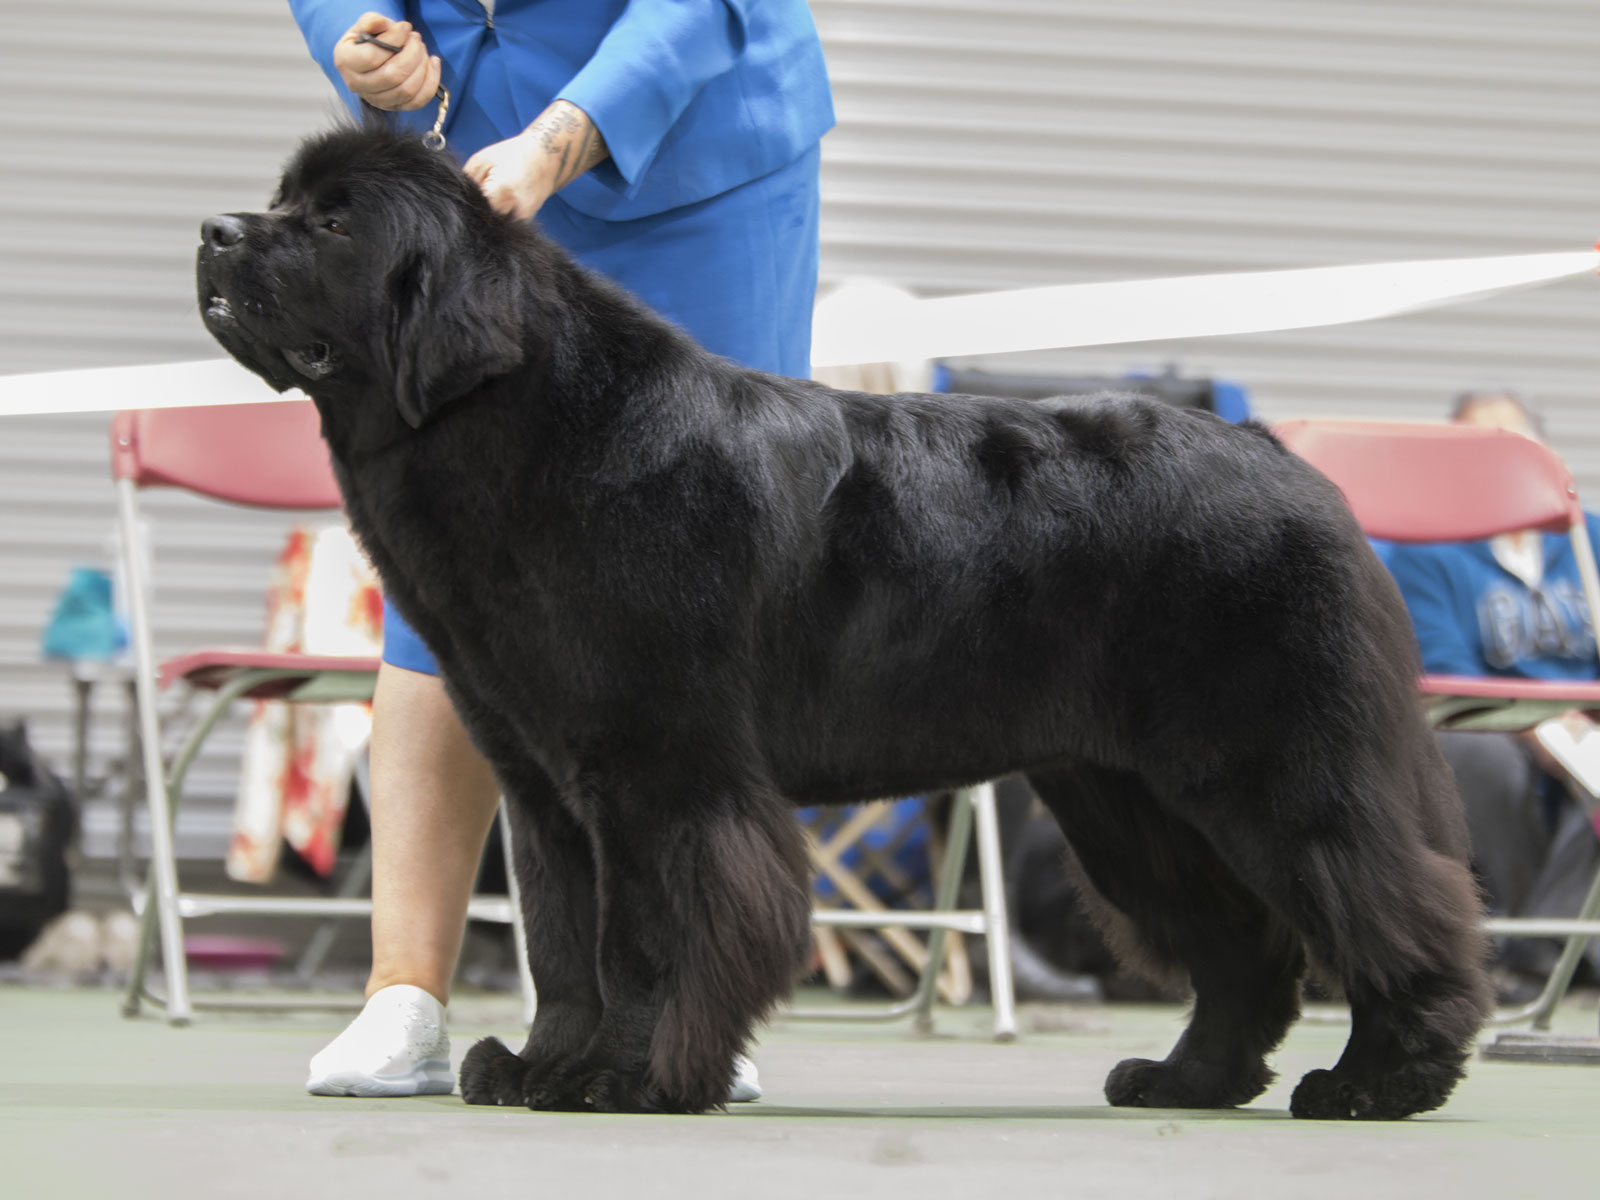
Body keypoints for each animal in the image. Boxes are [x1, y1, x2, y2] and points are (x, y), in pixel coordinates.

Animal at [193, 127, 1491, 1126]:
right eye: (279, 201)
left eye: (330, 225)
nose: (213, 230)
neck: (533, 430)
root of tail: (1286, 459)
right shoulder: (547, 789)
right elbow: (563, 946)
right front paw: (544, 1067)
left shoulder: (661, 773)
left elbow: (645, 938)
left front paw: (629, 1077)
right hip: (1129, 799)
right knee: (1241, 948)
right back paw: (1186, 1080)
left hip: (1272, 769)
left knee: (1387, 900)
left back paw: (1380, 1081)